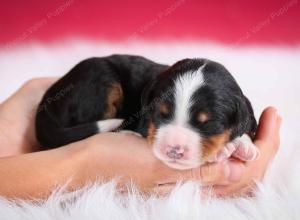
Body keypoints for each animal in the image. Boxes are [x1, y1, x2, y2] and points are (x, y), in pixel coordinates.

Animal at [36, 54, 258, 170]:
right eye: (161, 114)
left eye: (208, 123)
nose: (174, 150)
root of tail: (47, 100)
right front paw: (224, 150)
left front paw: (244, 146)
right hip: (100, 77)